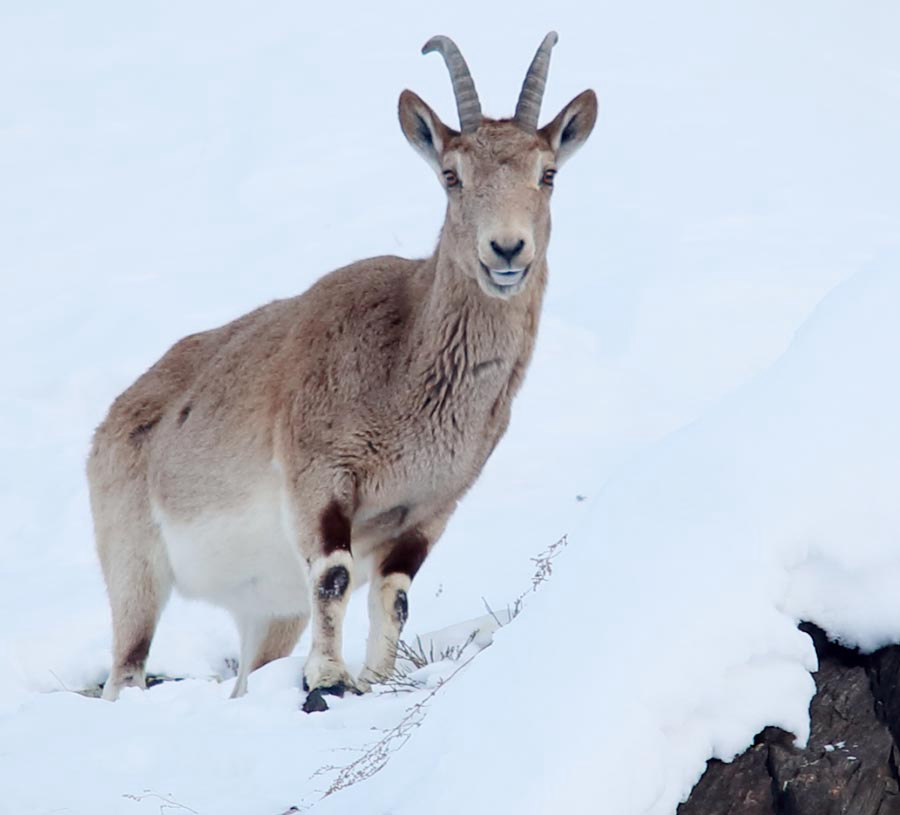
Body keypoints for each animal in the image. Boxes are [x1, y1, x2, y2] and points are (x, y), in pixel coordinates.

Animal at [88, 31, 596, 708]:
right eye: (451, 175)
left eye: (549, 173)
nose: (506, 249)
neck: (405, 366)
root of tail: (118, 415)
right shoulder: (320, 477)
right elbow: (333, 576)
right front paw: (328, 678)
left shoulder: (429, 508)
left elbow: (394, 595)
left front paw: (378, 678)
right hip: (133, 562)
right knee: (126, 664)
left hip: (267, 608)